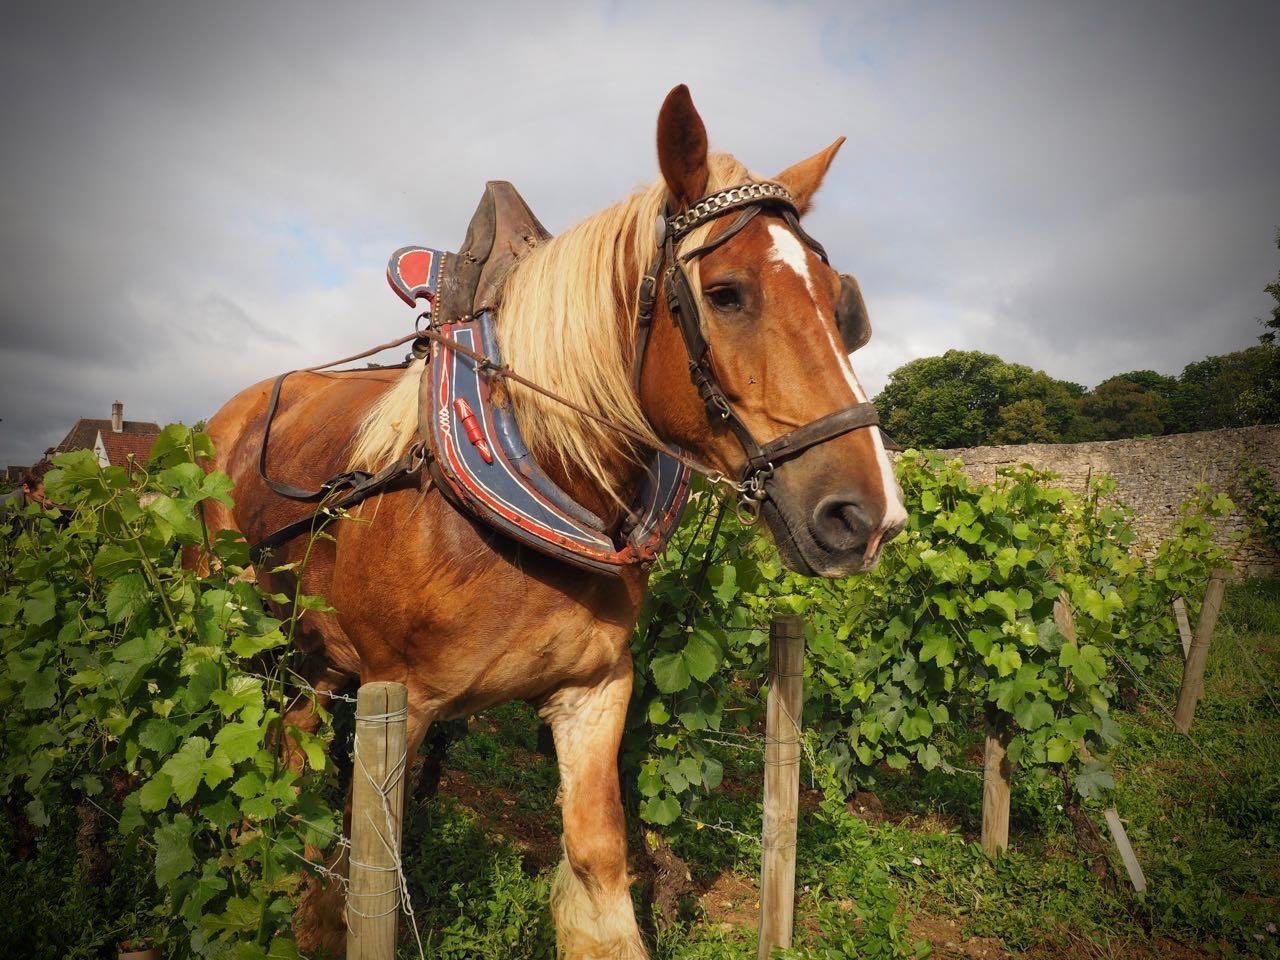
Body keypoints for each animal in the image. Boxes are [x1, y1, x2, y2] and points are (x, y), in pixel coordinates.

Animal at [197, 84, 901, 960]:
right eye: (727, 293)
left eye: (843, 307)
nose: (867, 515)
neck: (546, 469)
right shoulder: (400, 703)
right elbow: (373, 875)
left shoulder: (596, 689)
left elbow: (599, 858)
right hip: (242, 630)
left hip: (313, 650)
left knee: (293, 747)